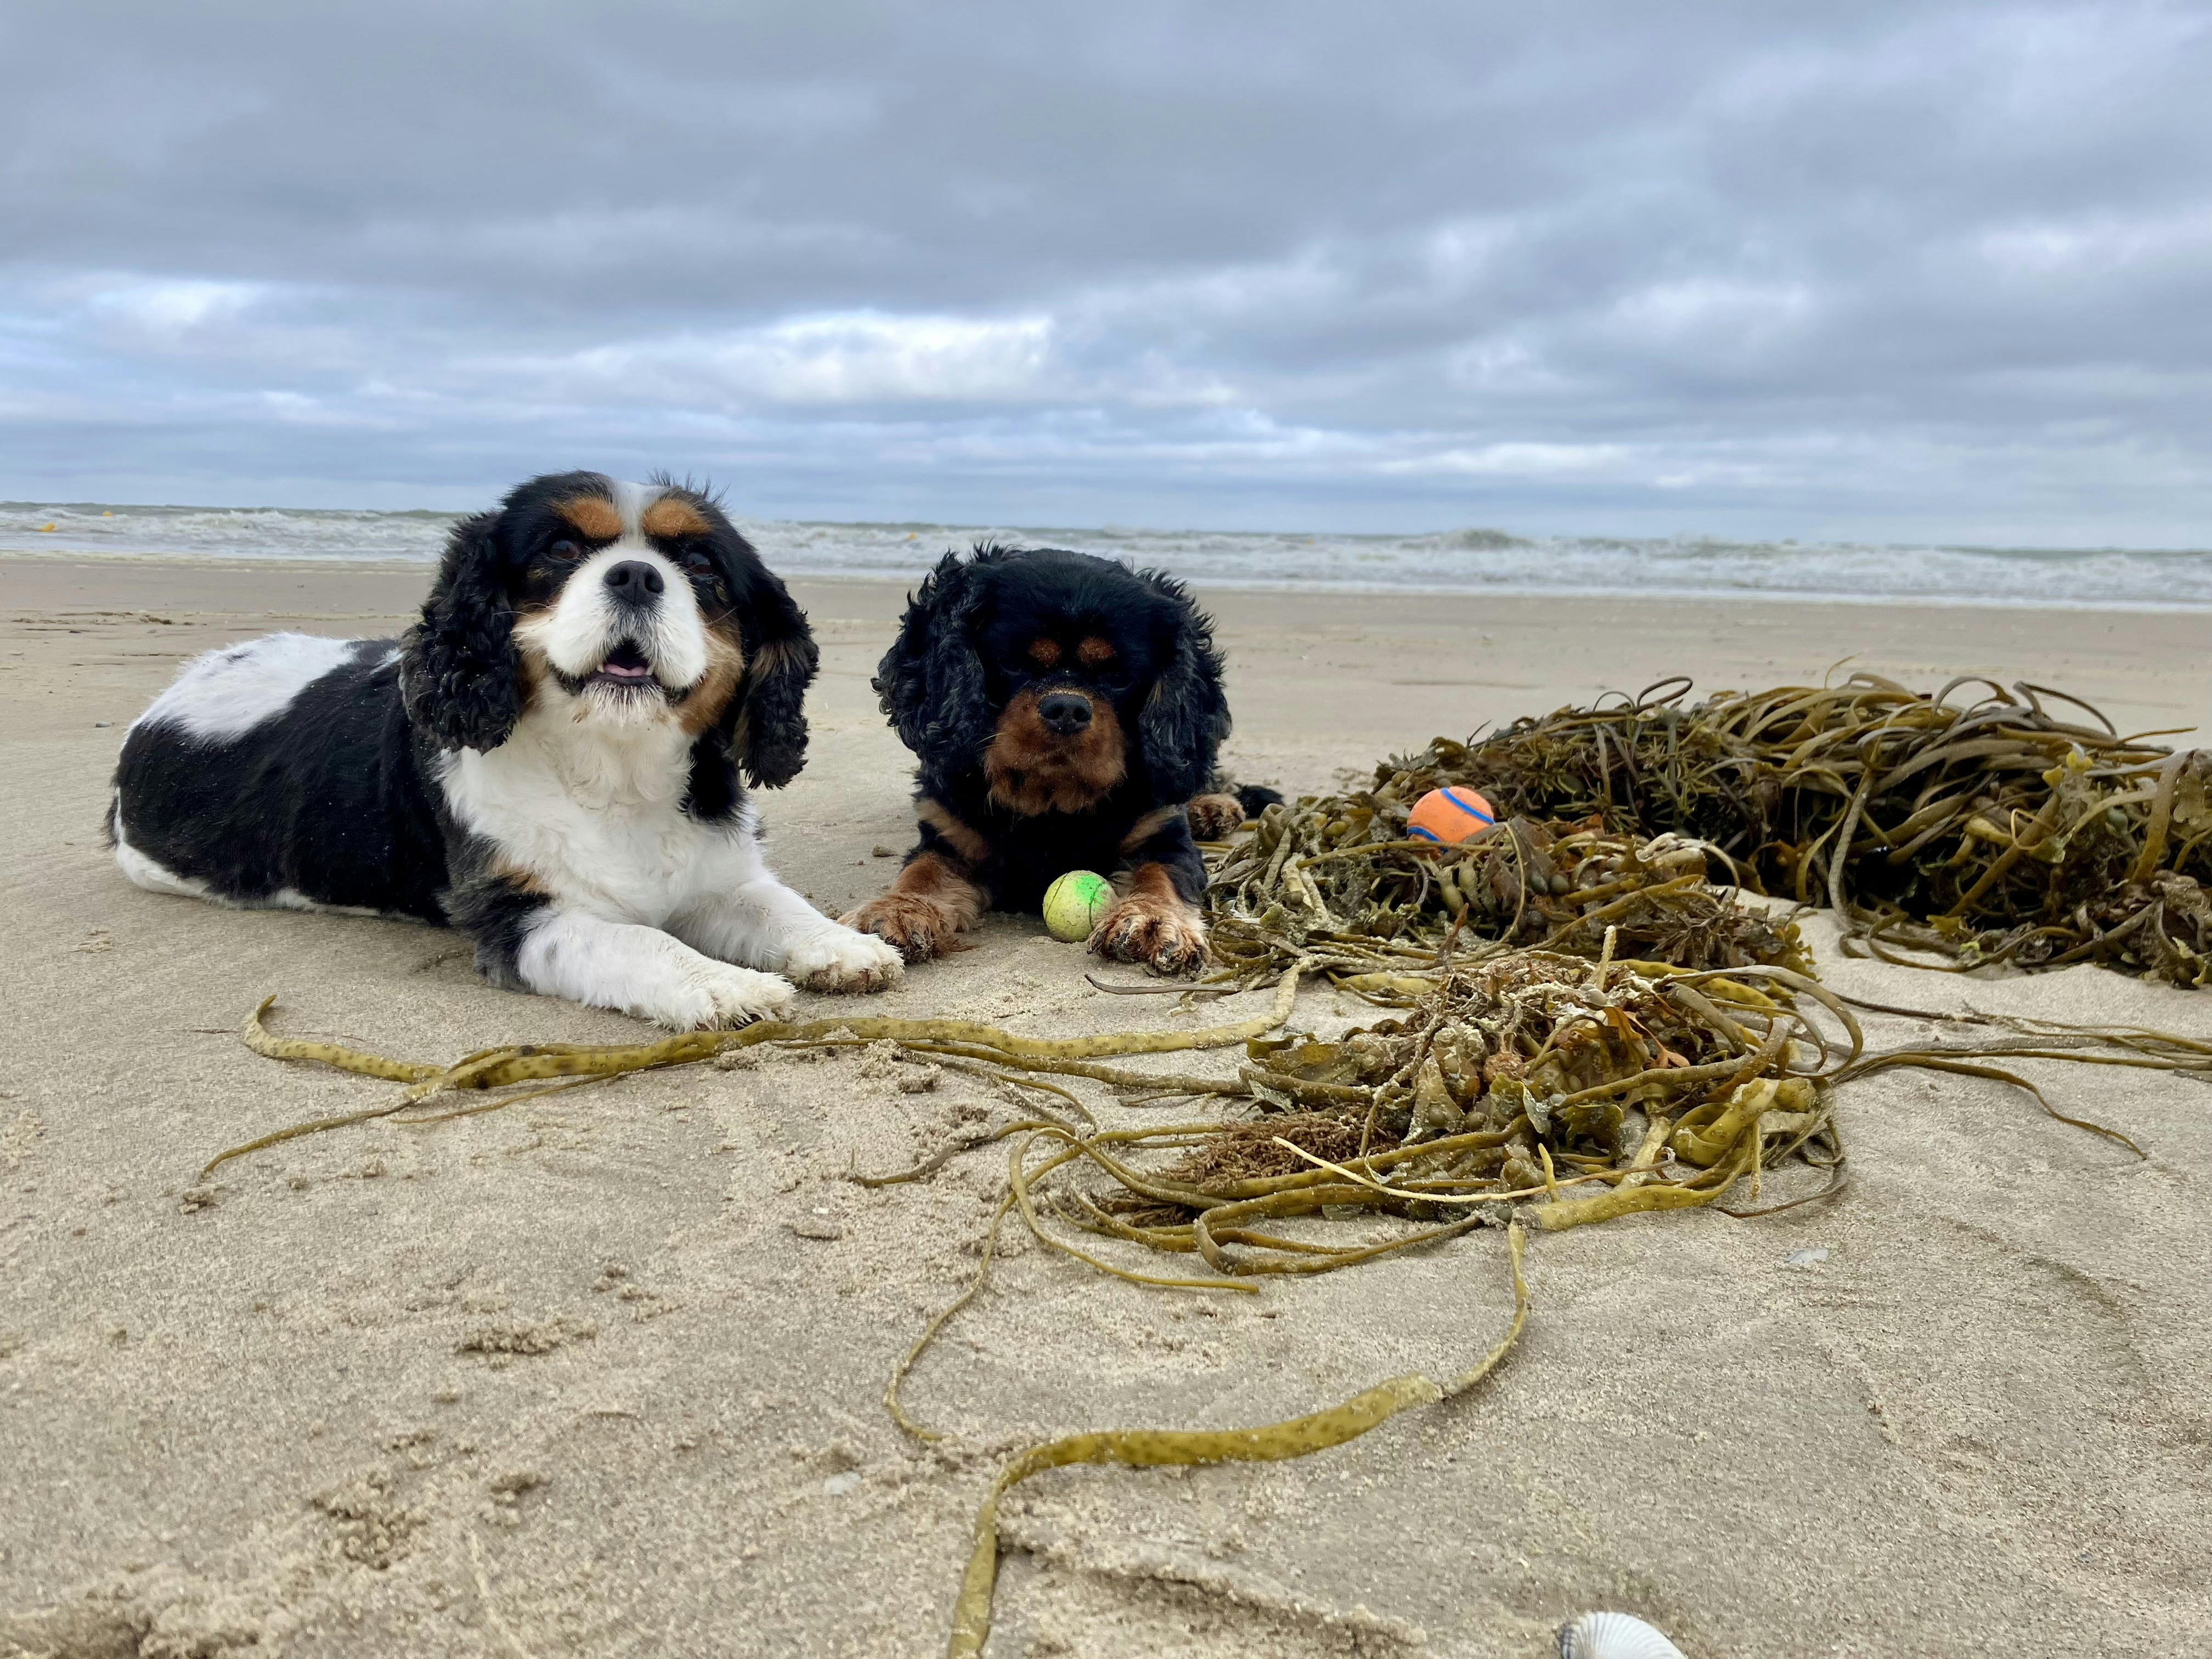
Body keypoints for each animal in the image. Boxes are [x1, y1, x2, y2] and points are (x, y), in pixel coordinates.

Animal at [109, 471, 903, 1028]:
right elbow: (639, 942)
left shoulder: (718, 874)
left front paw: (842, 945)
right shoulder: (517, 915)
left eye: (702, 566)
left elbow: (775, 904)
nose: (638, 575)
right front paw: (721, 983)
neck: (615, 772)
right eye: (561, 549)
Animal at [843, 543, 1277, 973]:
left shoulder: (1162, 835)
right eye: (1013, 663)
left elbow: (1160, 873)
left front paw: (1151, 920)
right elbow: (923, 871)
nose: (1067, 708)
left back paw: (1214, 806)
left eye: (1119, 677)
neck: (1052, 806)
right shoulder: (948, 837)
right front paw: (897, 910)